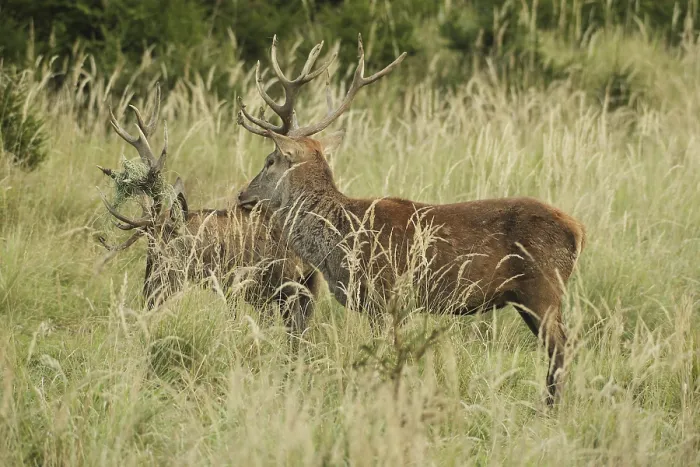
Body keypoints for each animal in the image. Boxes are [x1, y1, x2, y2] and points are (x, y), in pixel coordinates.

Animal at [235, 35, 587, 404]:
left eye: (270, 160)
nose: (242, 196)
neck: (340, 239)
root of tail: (579, 230)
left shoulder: (383, 294)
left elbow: (384, 353)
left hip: (543, 288)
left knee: (562, 347)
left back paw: (550, 407)